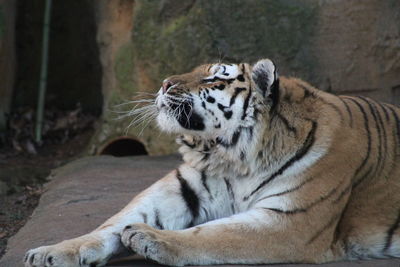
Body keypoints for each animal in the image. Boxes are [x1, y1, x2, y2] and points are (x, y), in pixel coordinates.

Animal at [24, 59, 400, 267]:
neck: (232, 157)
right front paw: (49, 253)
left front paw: (150, 238)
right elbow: (110, 225)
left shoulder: (292, 222)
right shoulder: (182, 191)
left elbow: (214, 235)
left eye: (213, 78)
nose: (164, 83)